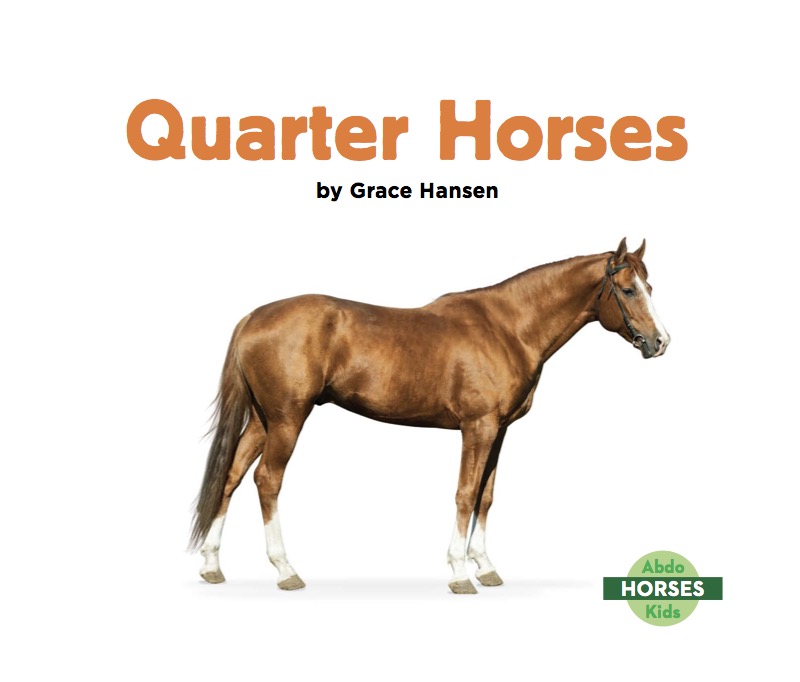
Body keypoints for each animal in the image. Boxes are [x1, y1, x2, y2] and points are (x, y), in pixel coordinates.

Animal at [190, 238, 670, 594]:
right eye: (628, 290)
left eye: (650, 288)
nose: (660, 341)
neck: (507, 328)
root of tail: (253, 317)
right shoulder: (477, 428)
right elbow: (464, 494)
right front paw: (459, 573)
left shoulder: (499, 432)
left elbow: (486, 497)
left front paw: (485, 567)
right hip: (288, 419)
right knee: (267, 480)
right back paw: (286, 570)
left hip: (263, 419)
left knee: (231, 476)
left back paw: (212, 566)